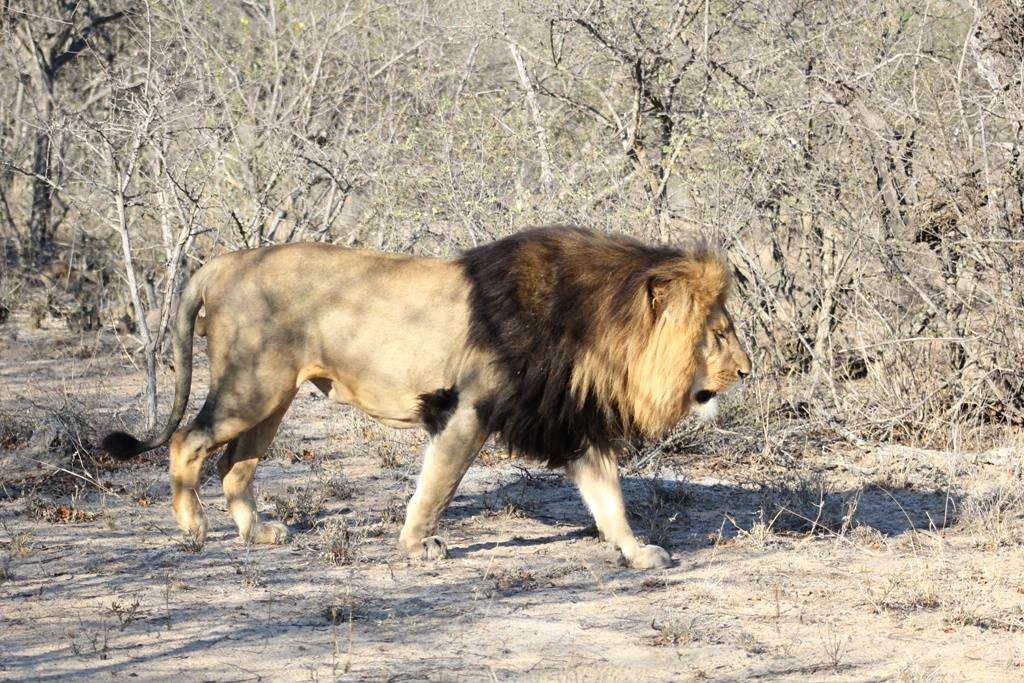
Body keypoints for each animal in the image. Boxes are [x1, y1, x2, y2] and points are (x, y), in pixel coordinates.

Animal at [103, 226, 751, 569]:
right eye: (720, 334)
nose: (746, 371)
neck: (594, 327)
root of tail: (222, 262)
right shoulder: (466, 409)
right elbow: (437, 485)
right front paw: (418, 544)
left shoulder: (567, 422)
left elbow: (609, 500)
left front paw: (639, 554)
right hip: (252, 385)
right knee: (187, 441)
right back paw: (192, 529)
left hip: (273, 396)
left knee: (235, 466)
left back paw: (257, 533)